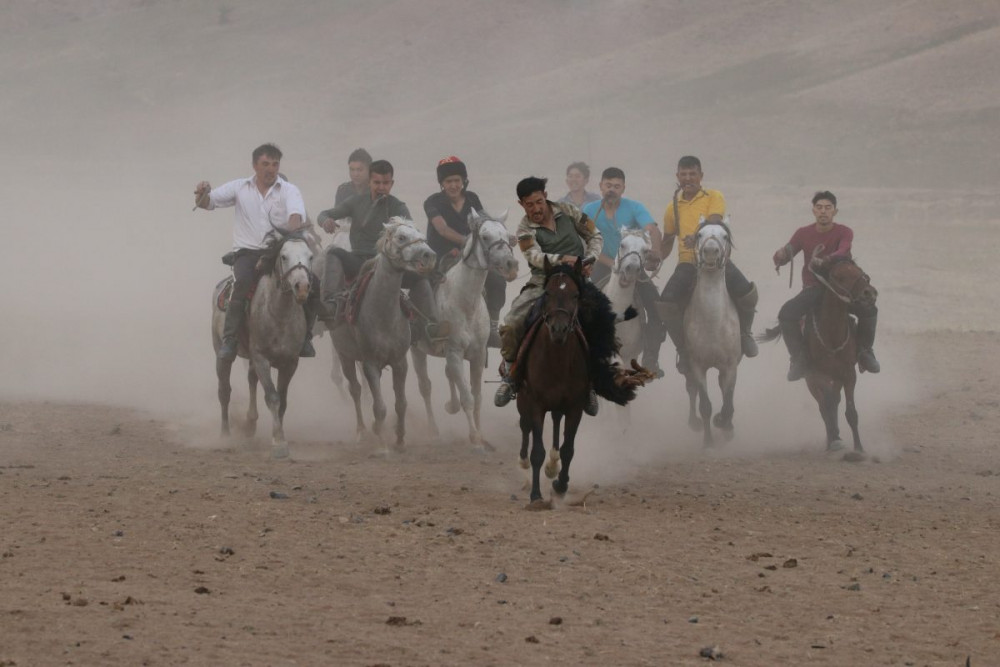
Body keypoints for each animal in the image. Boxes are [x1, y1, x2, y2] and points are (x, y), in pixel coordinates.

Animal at [213, 231, 314, 460]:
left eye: (310, 256)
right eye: (284, 256)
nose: (302, 287)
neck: (279, 314)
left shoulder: (290, 362)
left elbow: (283, 401)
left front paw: (280, 435)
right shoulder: (261, 358)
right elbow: (273, 397)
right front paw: (278, 443)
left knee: (251, 380)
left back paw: (250, 425)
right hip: (221, 353)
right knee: (224, 391)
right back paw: (224, 435)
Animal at [408, 209, 516, 448]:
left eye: (506, 235)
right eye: (485, 236)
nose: (511, 264)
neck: (465, 302)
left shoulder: (477, 355)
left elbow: (477, 397)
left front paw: (482, 435)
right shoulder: (455, 352)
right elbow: (468, 397)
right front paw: (474, 438)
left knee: (448, 375)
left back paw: (451, 406)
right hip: (418, 350)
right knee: (425, 386)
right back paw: (433, 430)